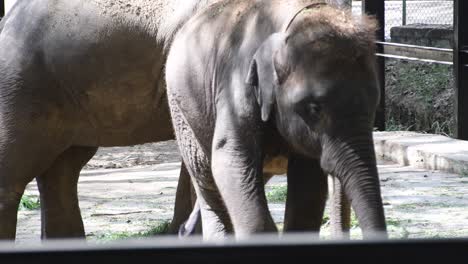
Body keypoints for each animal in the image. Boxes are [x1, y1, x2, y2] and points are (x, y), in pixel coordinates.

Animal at [167, 0, 388, 239]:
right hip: (182, 110)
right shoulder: (237, 85)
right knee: (206, 178)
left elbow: (308, 188)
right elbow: (229, 157)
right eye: (314, 109)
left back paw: (185, 231)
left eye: (375, 105)